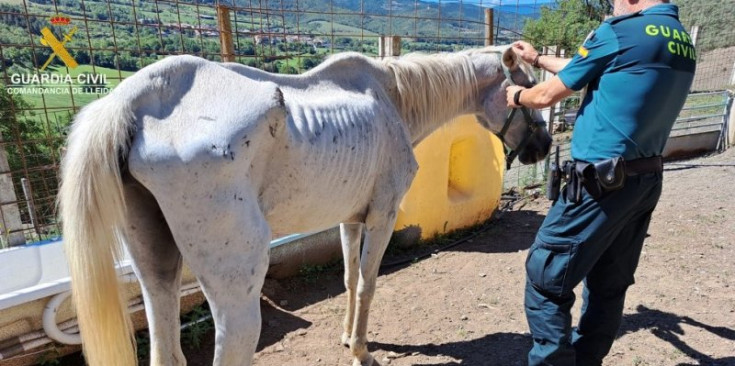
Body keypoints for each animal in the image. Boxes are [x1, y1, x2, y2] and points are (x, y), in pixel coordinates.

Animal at [59, 45, 552, 366]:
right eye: (526, 89)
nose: (544, 146)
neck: (391, 99)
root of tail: (138, 98)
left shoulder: (350, 219)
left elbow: (350, 279)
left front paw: (346, 338)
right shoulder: (382, 215)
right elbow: (368, 284)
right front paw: (361, 352)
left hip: (155, 266)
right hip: (237, 286)